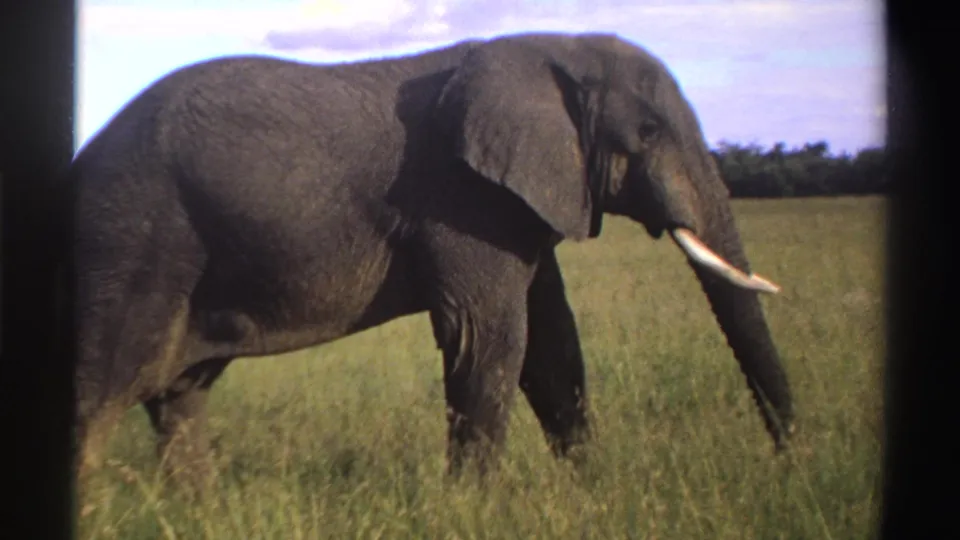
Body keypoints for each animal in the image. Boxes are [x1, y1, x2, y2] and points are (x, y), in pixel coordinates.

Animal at [69, 31, 794, 488]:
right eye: (647, 131)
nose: (789, 462)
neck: (549, 48)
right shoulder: (463, 199)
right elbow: (491, 338)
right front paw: (476, 509)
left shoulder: (513, 205)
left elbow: (551, 344)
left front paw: (590, 489)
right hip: (130, 239)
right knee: (97, 392)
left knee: (178, 397)